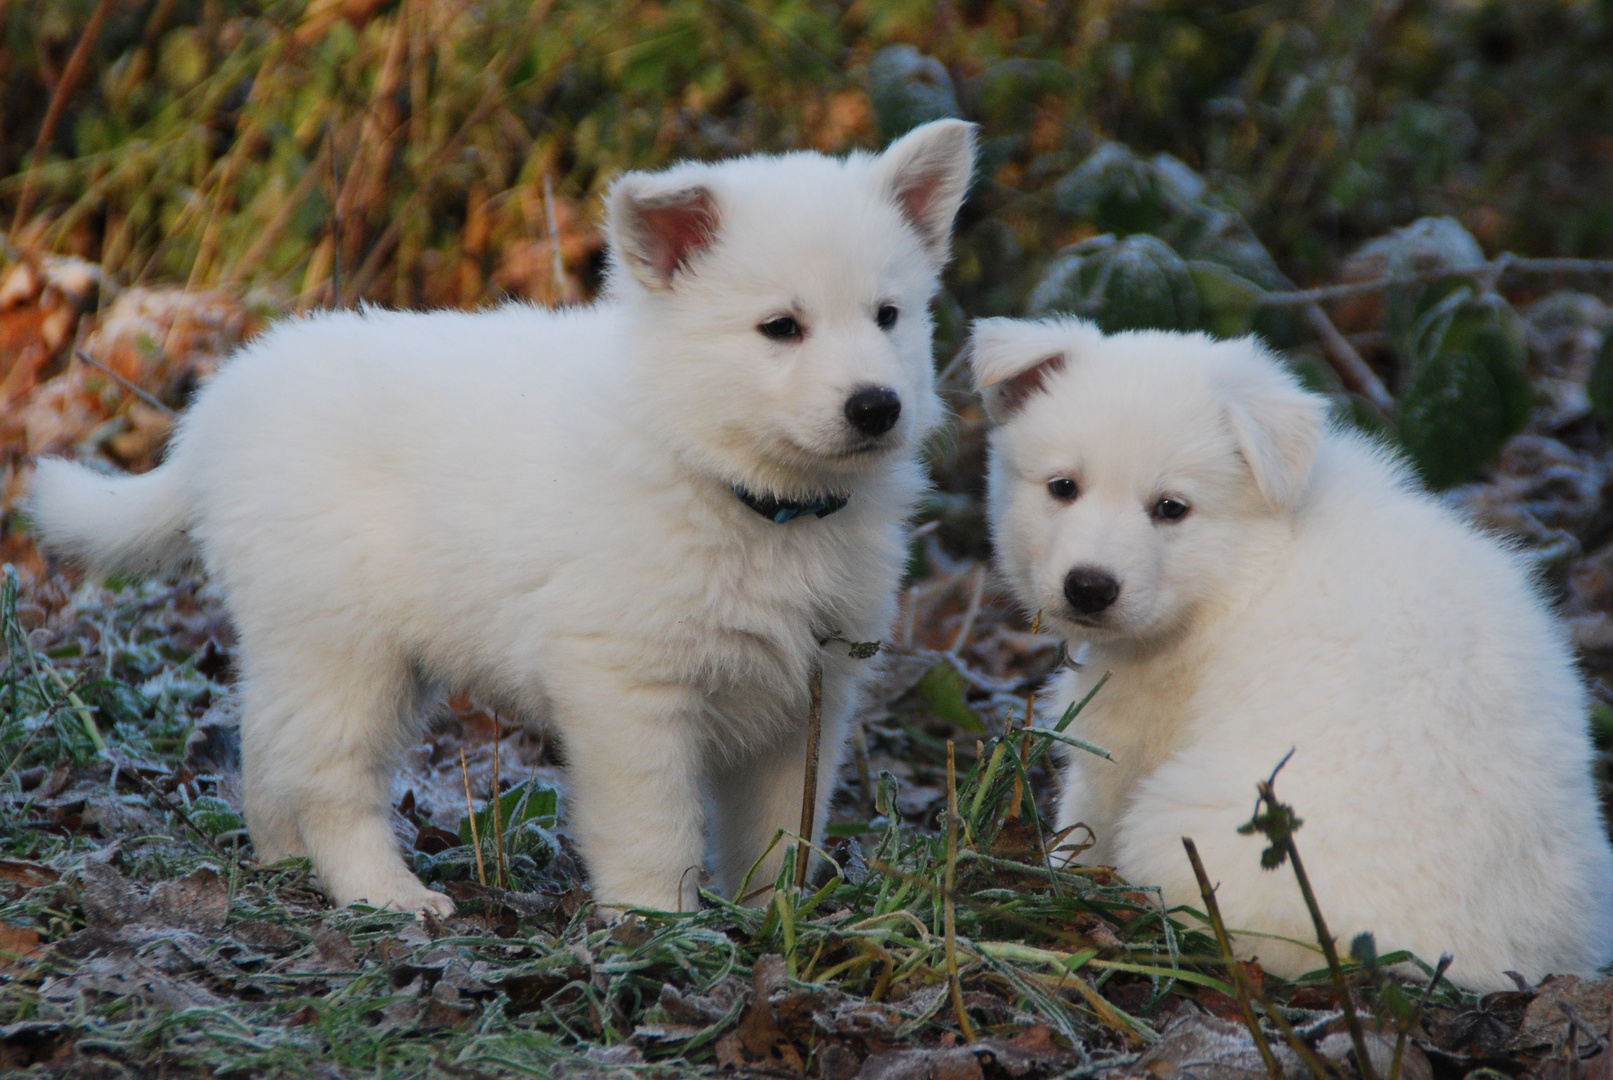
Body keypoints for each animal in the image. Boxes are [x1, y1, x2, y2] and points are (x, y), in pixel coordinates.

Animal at [31, 120, 974, 922]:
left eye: (889, 316)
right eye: (780, 328)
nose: (877, 406)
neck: (740, 488)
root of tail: (215, 412)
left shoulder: (809, 692)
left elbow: (784, 830)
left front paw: (772, 922)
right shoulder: (627, 688)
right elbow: (655, 823)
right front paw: (658, 928)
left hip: (302, 643)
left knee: (269, 756)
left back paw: (283, 865)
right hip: (346, 646)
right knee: (331, 781)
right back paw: (385, 896)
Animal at [967, 317, 1613, 992]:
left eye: (1171, 508)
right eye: (1062, 488)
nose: (1089, 587)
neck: (1249, 561)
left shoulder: (1128, 734)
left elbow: (1085, 816)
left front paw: (1053, 874)